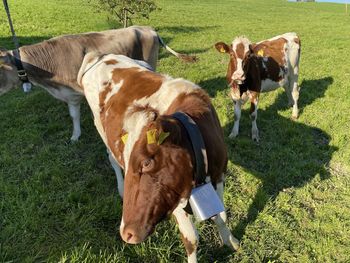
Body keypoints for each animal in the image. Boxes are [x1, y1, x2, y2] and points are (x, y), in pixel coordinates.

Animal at [77, 54, 239, 263]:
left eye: (146, 163)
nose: (126, 233)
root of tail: (102, 56)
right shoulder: (174, 197)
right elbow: (191, 239)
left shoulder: (219, 174)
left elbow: (221, 217)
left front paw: (231, 241)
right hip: (100, 129)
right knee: (111, 159)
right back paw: (120, 189)